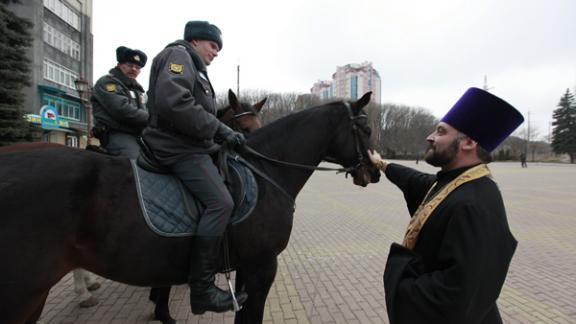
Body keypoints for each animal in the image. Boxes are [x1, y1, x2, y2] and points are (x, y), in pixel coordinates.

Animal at [0, 92, 380, 324]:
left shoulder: (245, 268)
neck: (266, 171)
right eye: (365, 128)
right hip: (23, 296)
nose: (375, 172)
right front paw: (162, 309)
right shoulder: (261, 267)